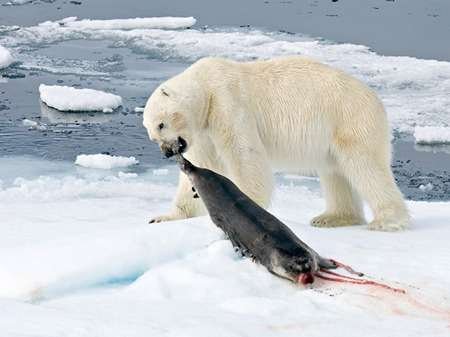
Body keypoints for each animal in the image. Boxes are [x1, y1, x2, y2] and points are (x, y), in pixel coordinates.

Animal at [142, 56, 410, 230]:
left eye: (161, 124)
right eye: (152, 135)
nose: (167, 152)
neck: (206, 87)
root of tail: (376, 99)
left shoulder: (228, 103)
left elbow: (245, 155)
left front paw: (248, 207)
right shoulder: (202, 131)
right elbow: (201, 166)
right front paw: (164, 217)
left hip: (349, 119)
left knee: (365, 166)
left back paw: (386, 220)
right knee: (335, 172)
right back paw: (332, 217)